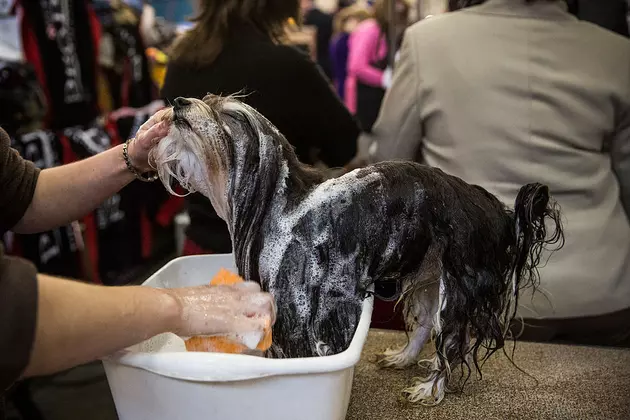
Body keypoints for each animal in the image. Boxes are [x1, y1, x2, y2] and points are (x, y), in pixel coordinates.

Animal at [151, 94, 564, 404]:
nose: (179, 101)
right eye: (207, 99)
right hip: (429, 273)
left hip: (458, 288)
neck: (276, 202)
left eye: (225, 115)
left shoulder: (302, 307)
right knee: (424, 324)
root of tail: (498, 212)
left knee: (451, 345)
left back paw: (429, 388)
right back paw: (403, 357)